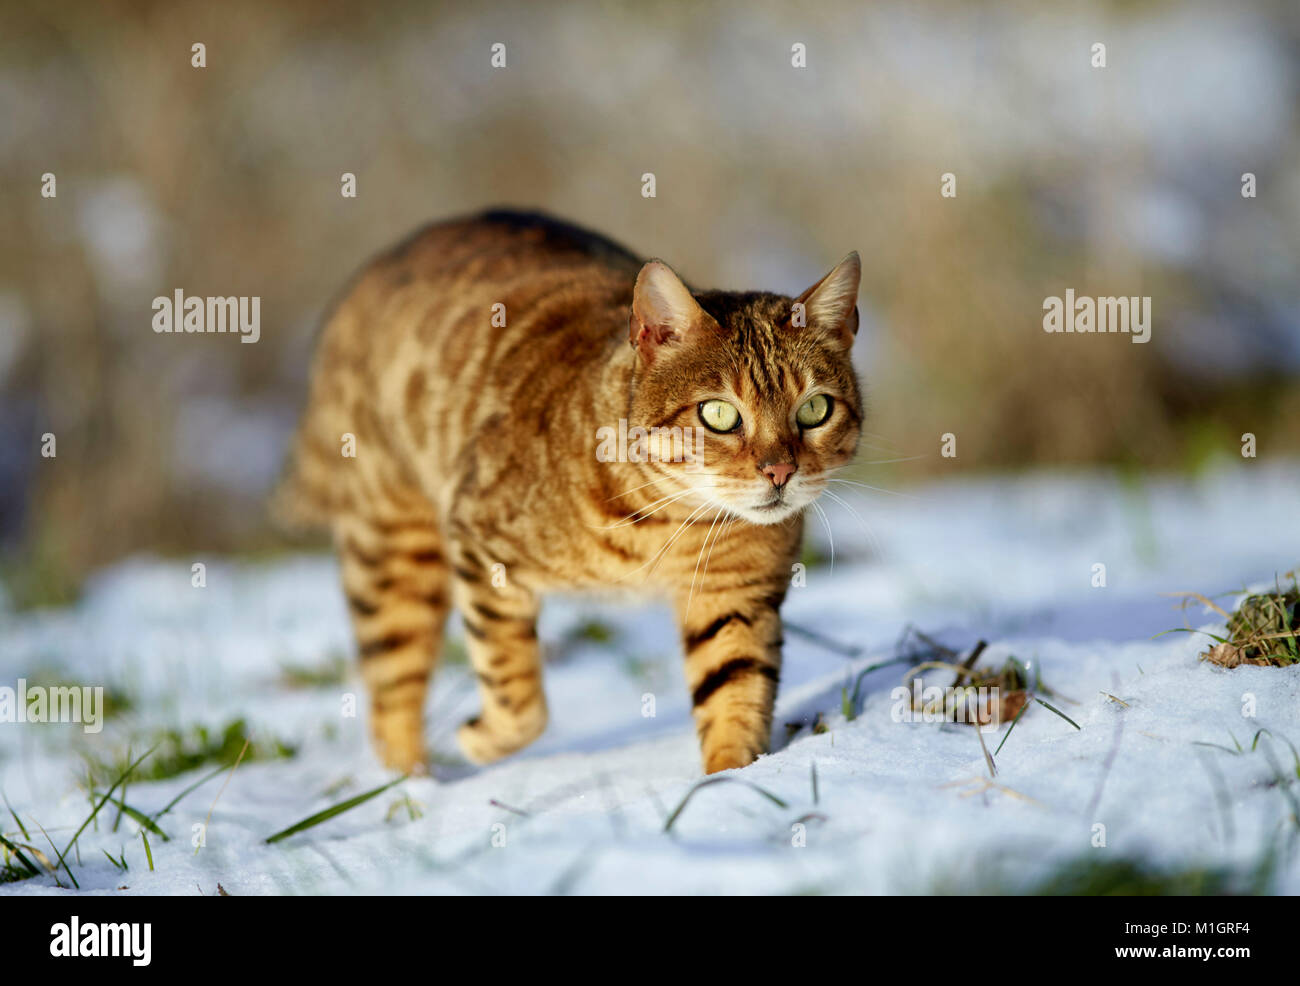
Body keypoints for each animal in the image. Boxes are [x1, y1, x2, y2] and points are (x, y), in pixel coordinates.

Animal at [275, 210, 863, 780]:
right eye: (718, 414)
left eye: (815, 409)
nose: (780, 471)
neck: (668, 525)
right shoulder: (478, 541)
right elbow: (517, 696)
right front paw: (480, 739)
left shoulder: (737, 597)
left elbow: (734, 695)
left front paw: (730, 784)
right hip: (393, 551)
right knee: (392, 688)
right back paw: (415, 785)